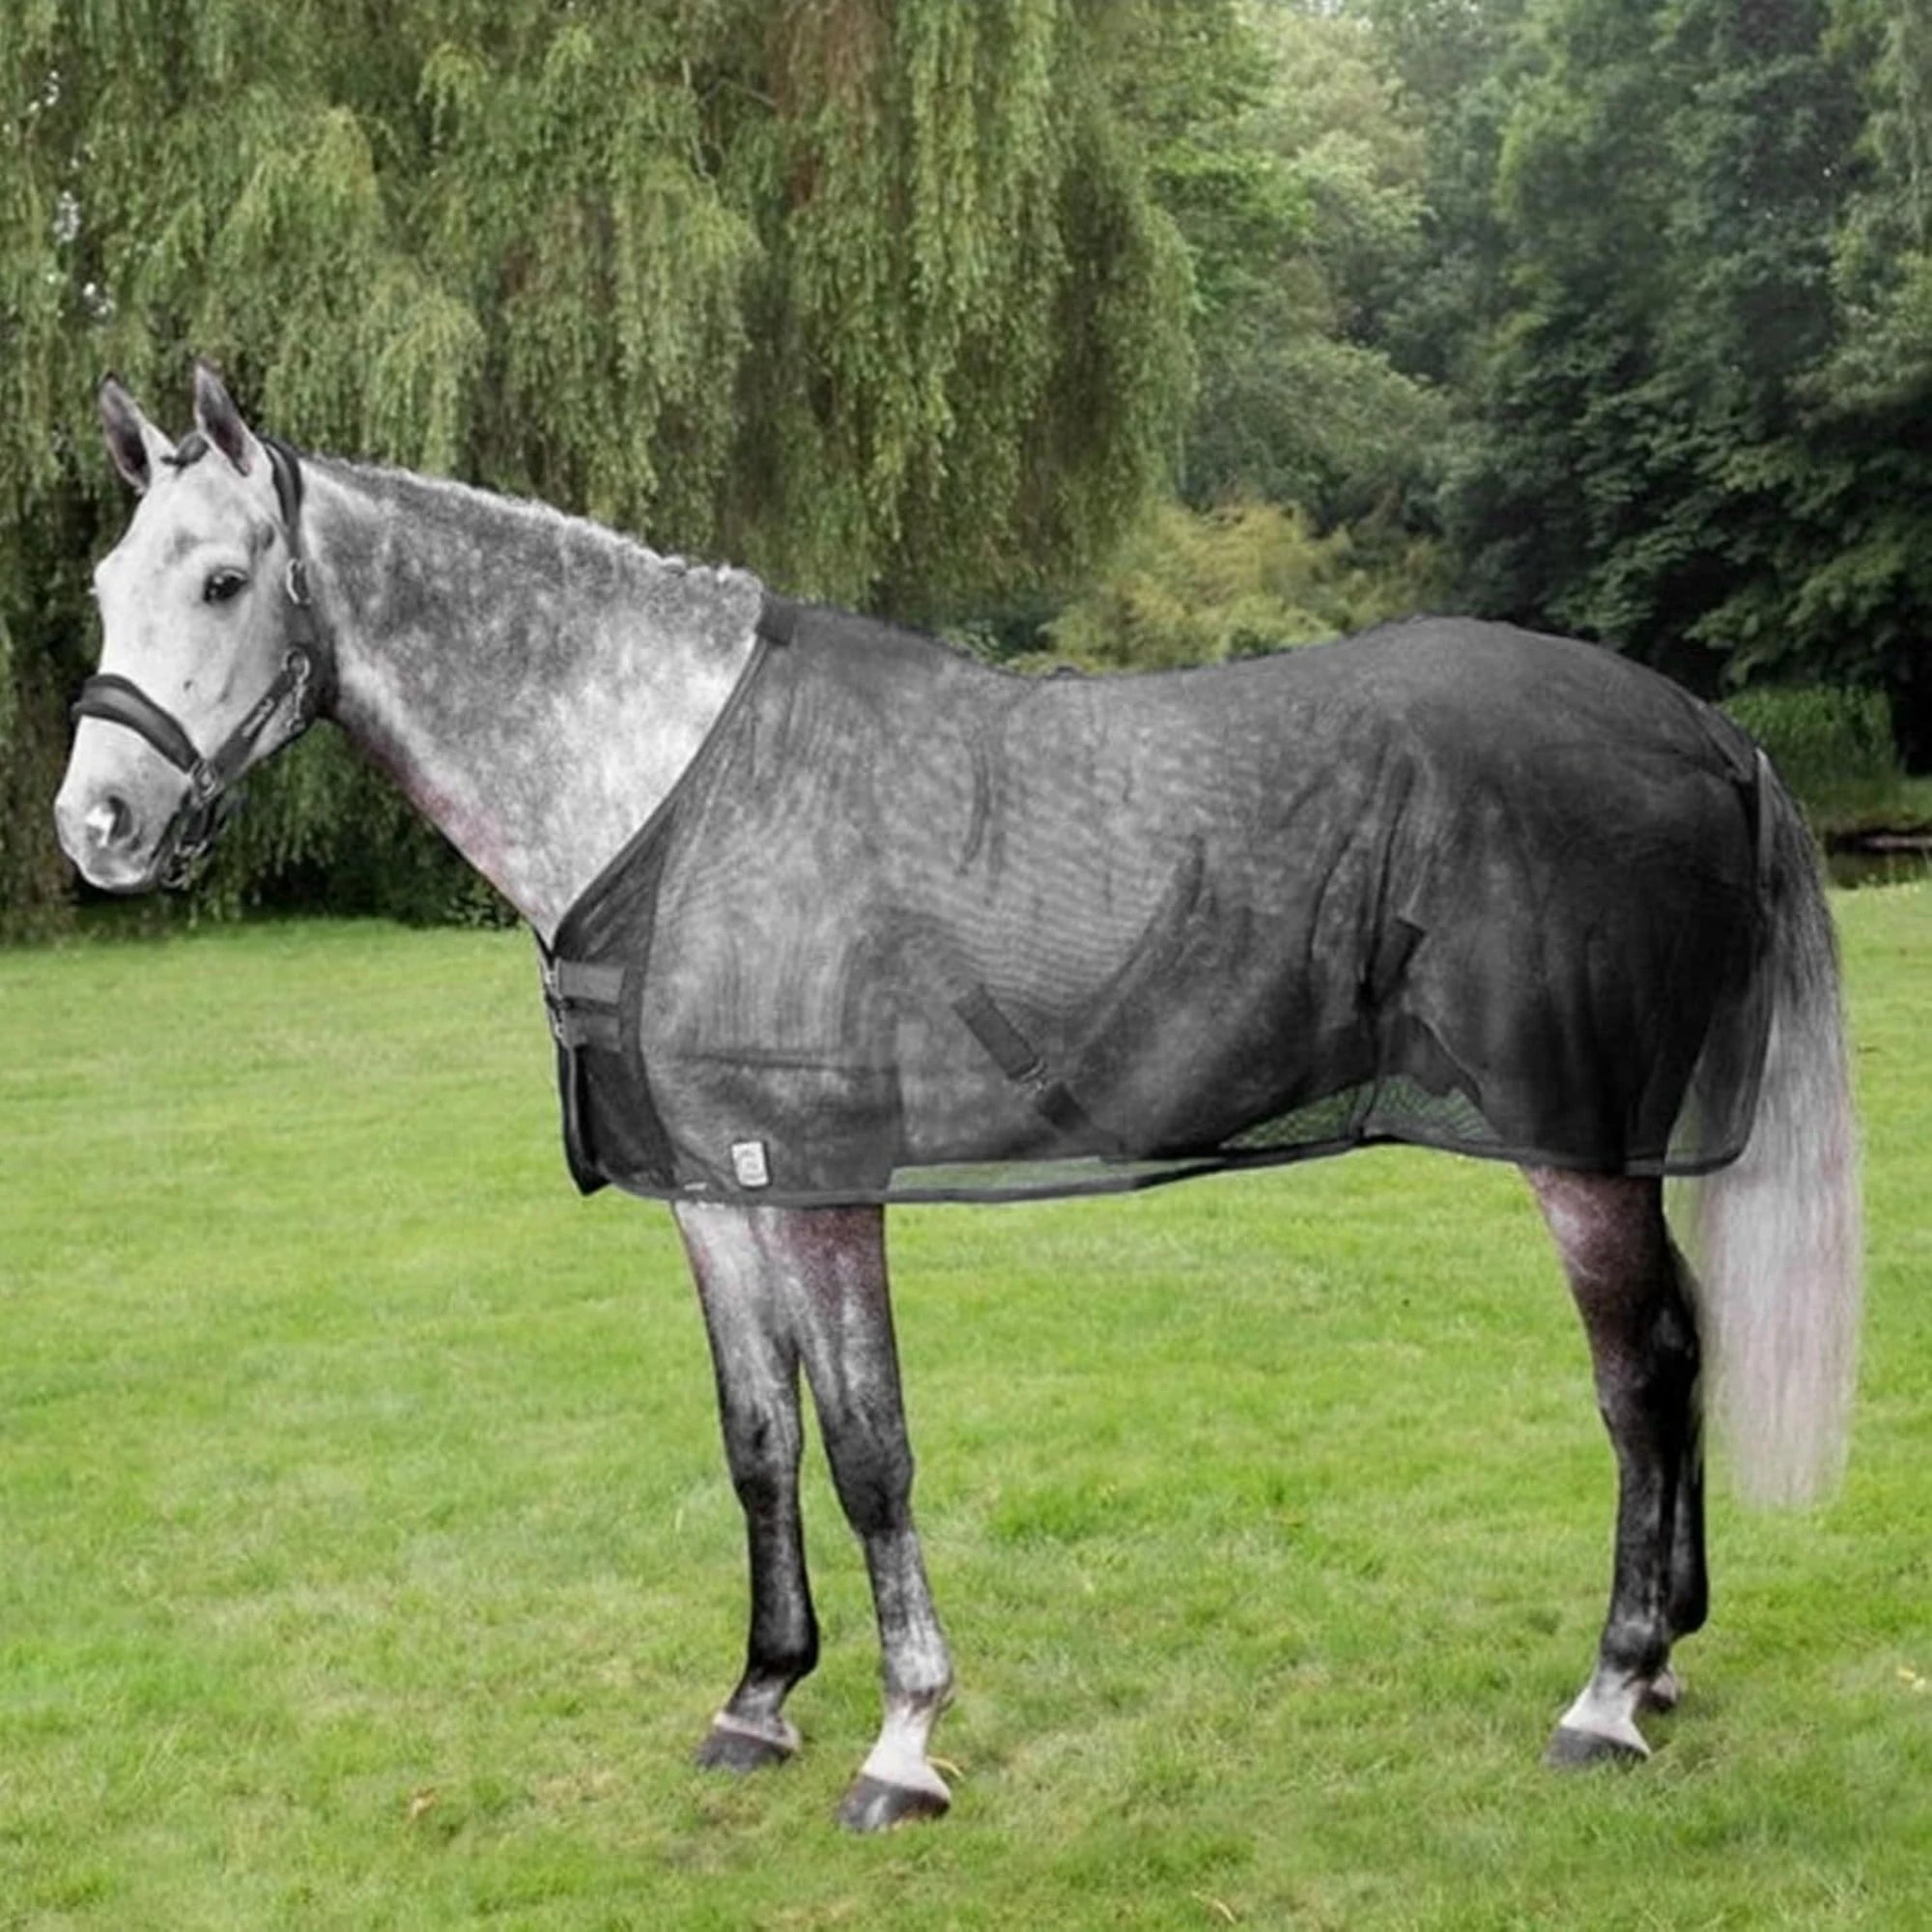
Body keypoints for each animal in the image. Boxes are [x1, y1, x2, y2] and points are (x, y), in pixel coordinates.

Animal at [54, 366, 1861, 1831]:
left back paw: (1608, 1693)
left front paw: (903, 1740)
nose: (97, 827)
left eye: (223, 579)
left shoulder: (821, 1183)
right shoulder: (717, 1192)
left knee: (1640, 1380)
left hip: (1578, 1151)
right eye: (102, 585)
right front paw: (760, 1701)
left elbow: (871, 1451)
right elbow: (760, 1442)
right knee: (1683, 1353)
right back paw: (1667, 1664)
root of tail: (1708, 731)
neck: (675, 791)